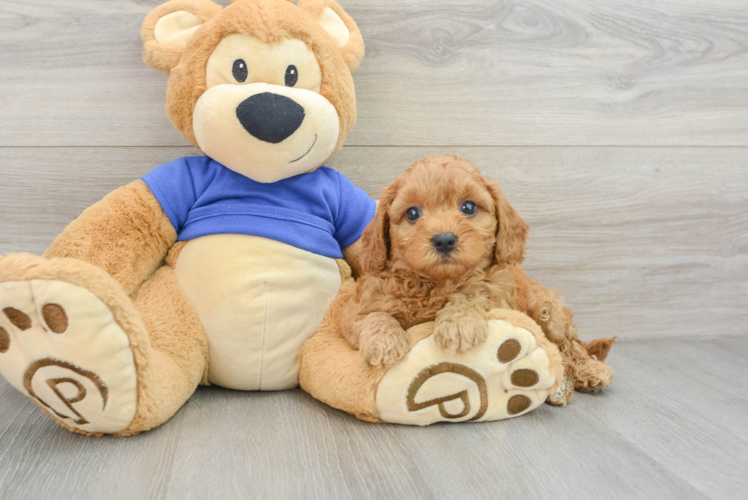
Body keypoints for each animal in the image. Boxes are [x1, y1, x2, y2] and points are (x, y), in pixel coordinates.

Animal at [344, 154, 612, 404]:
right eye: (412, 213)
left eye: (469, 208)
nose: (444, 239)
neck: (438, 283)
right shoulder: (357, 308)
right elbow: (372, 316)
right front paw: (383, 342)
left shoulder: (498, 296)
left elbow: (473, 294)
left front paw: (458, 324)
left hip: (548, 311)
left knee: (570, 345)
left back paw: (589, 372)